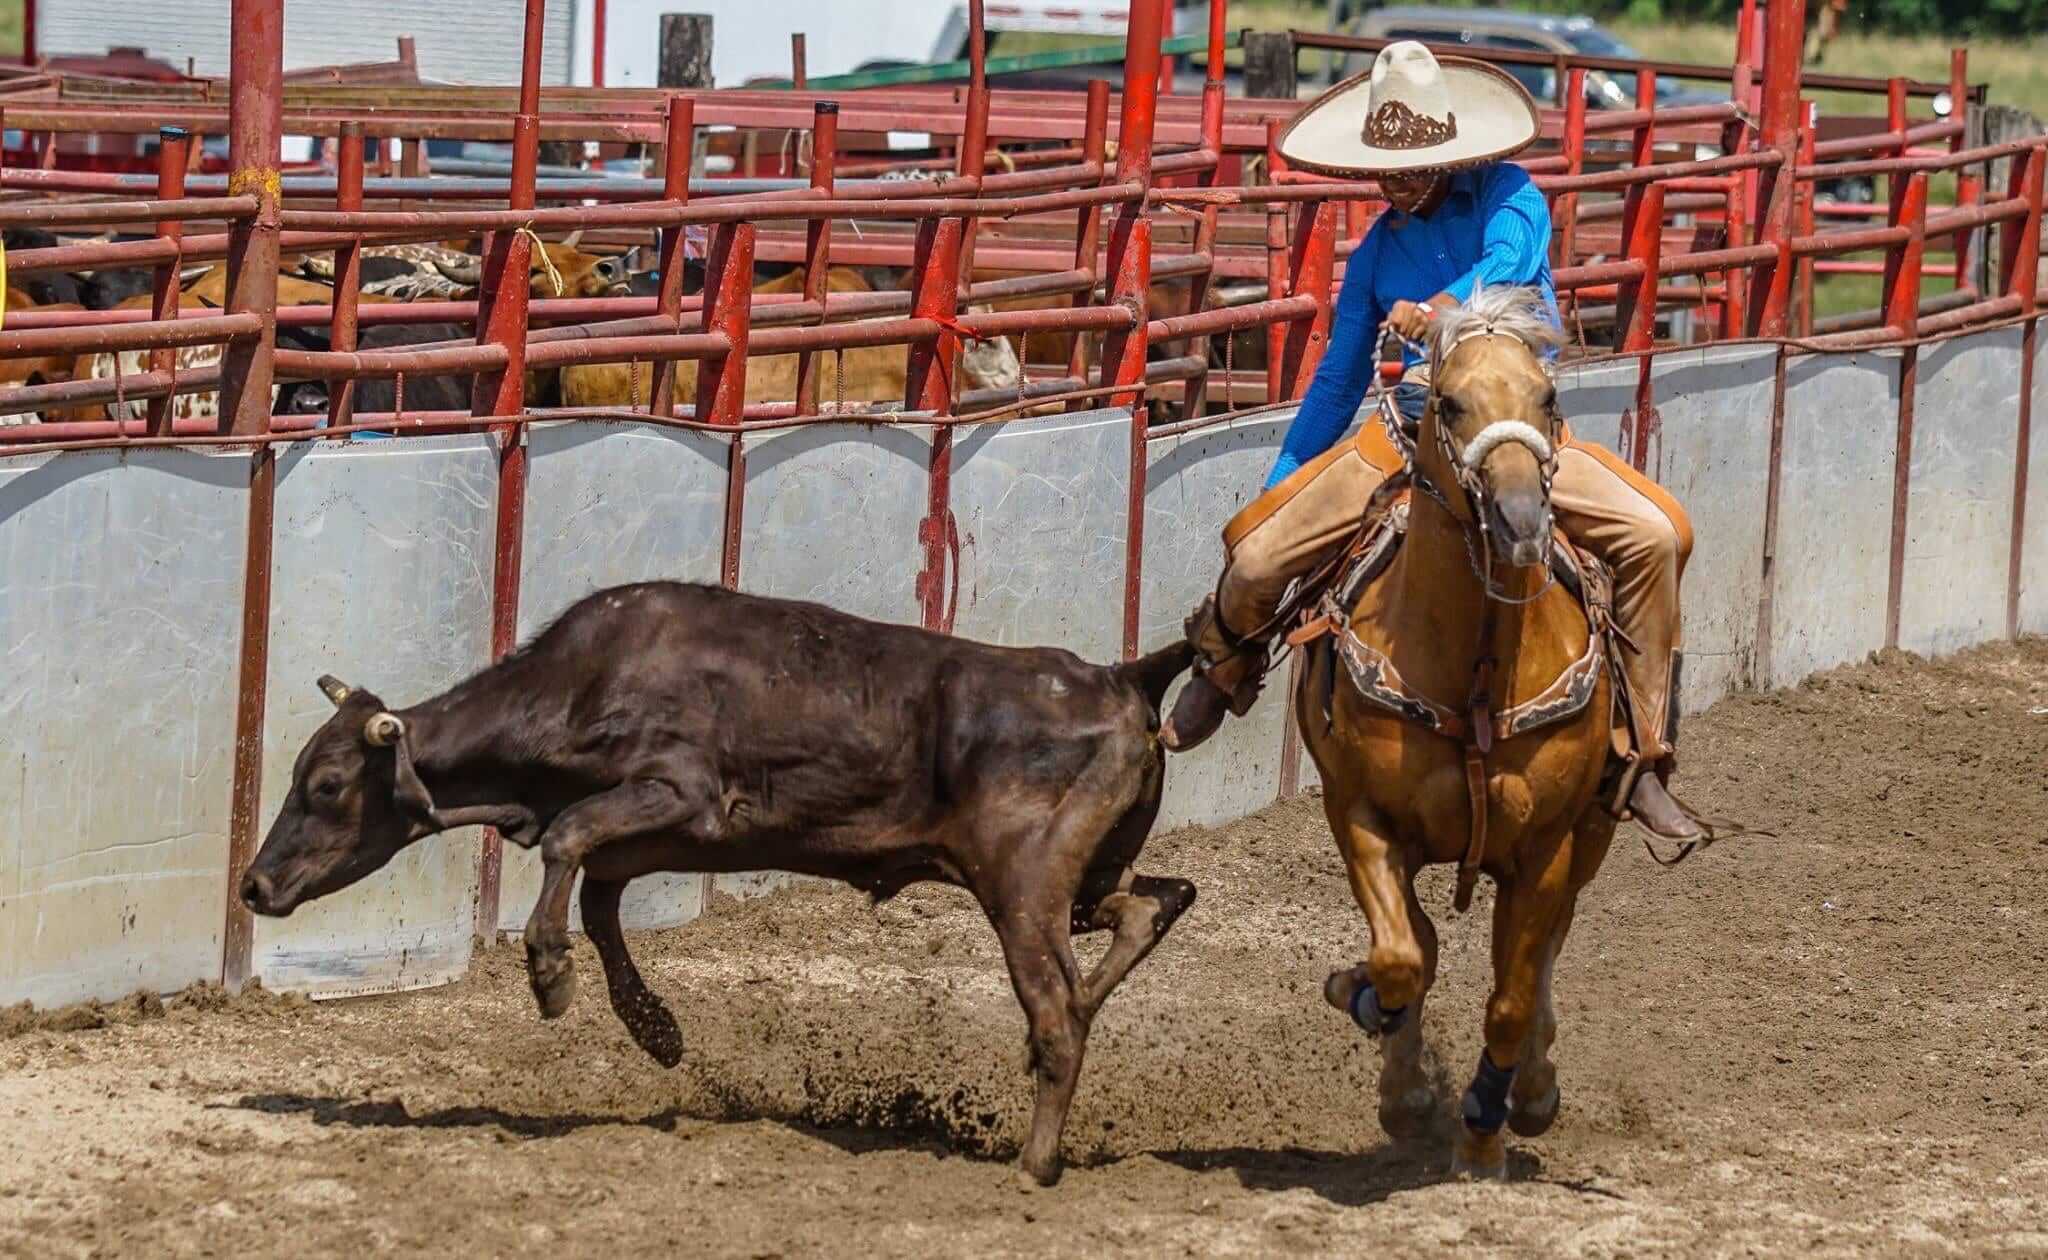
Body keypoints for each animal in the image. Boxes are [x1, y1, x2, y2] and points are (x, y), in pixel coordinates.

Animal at [239, 585, 1196, 1188]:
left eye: (326, 785)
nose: (254, 884)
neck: (581, 684)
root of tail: (1122, 677)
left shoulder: (679, 792)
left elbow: (569, 843)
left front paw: (549, 976)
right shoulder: (649, 839)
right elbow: (595, 897)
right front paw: (655, 1029)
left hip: (1023, 888)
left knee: (1062, 1010)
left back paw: (1034, 1163)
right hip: (1082, 881)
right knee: (1154, 905)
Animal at [1302, 288, 1622, 1180]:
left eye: (1547, 398)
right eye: (1447, 402)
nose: (1519, 520)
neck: (1474, 671)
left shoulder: (1547, 845)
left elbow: (1510, 997)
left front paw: (1483, 1131)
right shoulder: (1364, 818)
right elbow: (1401, 959)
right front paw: (1397, 1074)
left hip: (1594, 832)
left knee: (1547, 953)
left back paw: (1535, 1090)